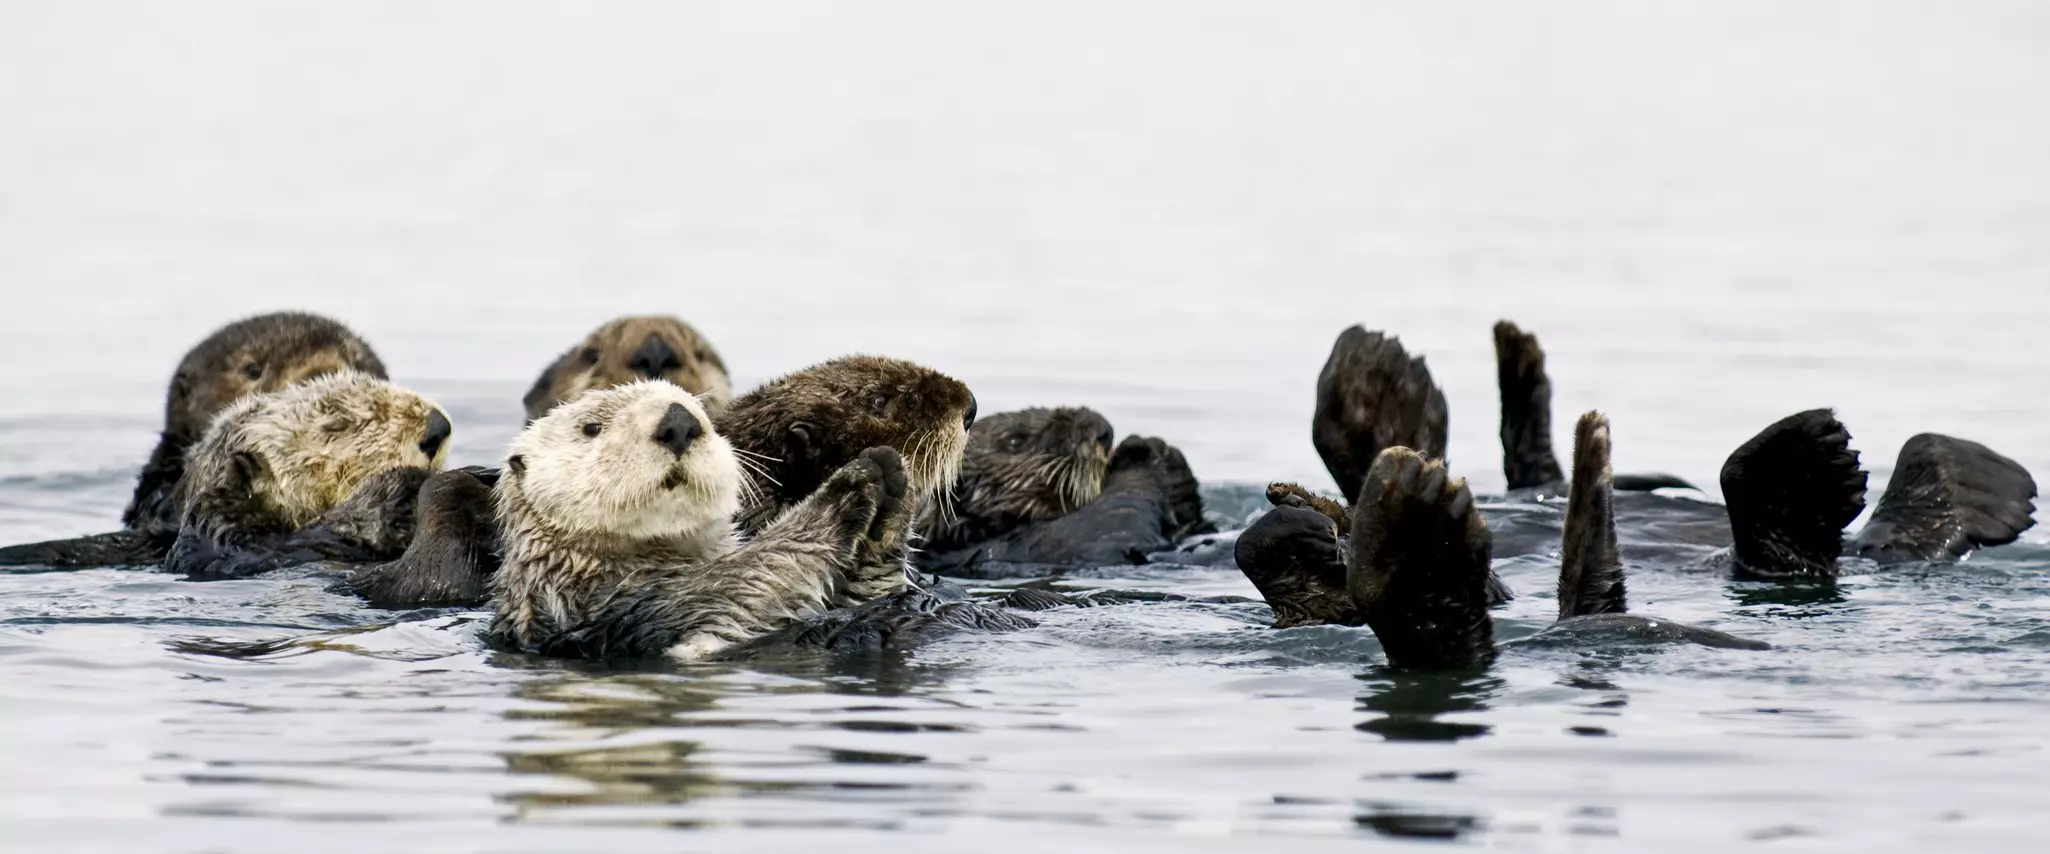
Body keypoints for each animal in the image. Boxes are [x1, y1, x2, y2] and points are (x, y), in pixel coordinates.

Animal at [484, 380, 935, 661]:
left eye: (699, 409)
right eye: (591, 427)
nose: (679, 421)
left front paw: (891, 479)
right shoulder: (651, 607)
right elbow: (754, 575)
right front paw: (850, 483)